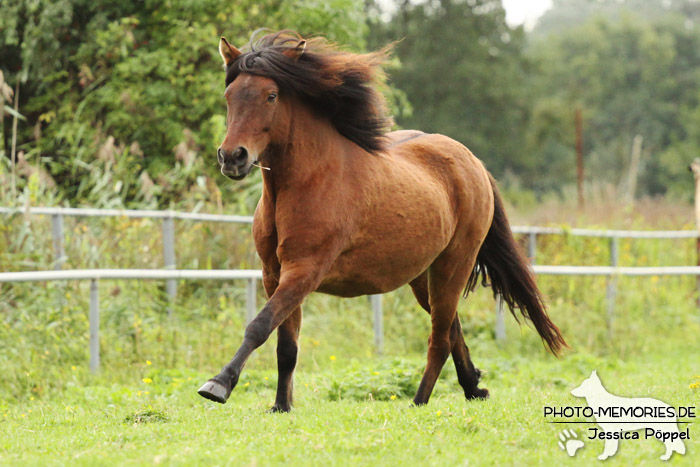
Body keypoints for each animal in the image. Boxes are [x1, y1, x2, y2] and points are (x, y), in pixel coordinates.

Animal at [196, 29, 564, 412]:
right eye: (229, 96)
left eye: (271, 95)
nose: (232, 157)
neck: (306, 181)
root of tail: (472, 161)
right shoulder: (274, 273)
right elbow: (286, 345)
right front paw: (281, 406)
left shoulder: (304, 271)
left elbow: (260, 326)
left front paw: (218, 384)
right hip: (422, 277)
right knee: (451, 330)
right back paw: (473, 388)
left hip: (454, 265)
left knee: (439, 339)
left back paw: (419, 401)